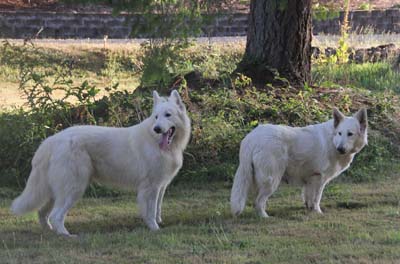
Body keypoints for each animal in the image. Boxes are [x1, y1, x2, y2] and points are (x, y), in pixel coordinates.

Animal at [10, 89, 190, 236]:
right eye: (156, 117)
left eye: (168, 115)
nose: (157, 129)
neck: (157, 142)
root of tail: (51, 140)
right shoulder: (150, 187)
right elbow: (150, 211)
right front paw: (154, 228)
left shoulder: (161, 185)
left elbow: (158, 208)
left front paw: (159, 223)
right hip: (73, 187)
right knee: (56, 215)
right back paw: (66, 236)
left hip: (55, 190)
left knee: (42, 213)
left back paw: (49, 232)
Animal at [231, 108, 368, 218]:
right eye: (340, 133)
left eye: (350, 134)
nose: (340, 149)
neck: (332, 140)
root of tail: (252, 138)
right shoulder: (319, 178)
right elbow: (316, 198)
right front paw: (318, 212)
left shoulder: (310, 179)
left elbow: (308, 197)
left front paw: (309, 209)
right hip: (272, 180)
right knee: (258, 201)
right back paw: (265, 217)